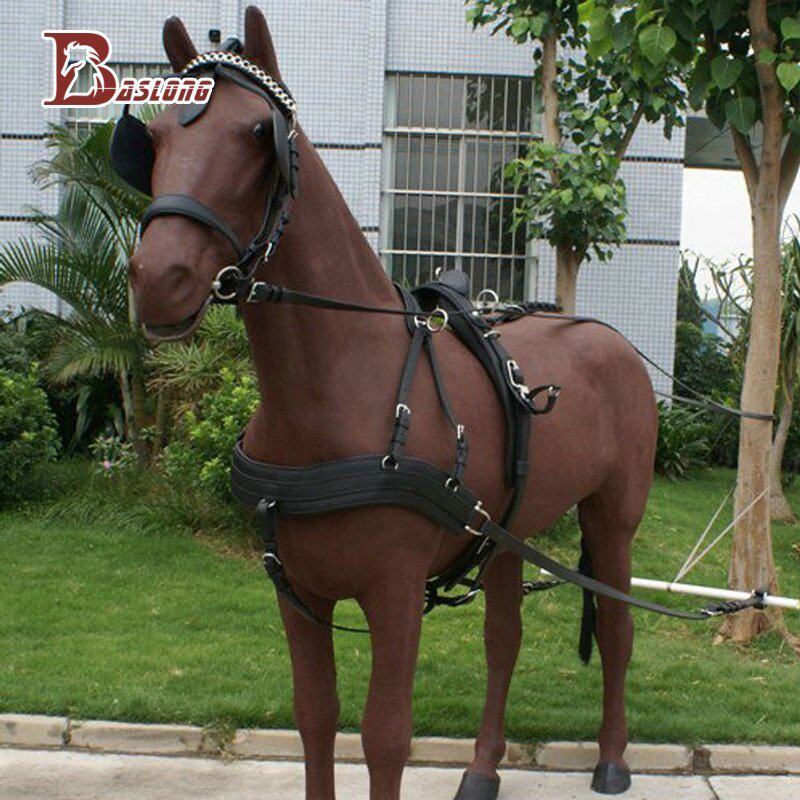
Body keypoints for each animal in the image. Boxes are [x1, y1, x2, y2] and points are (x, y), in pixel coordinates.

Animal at [128, 8, 657, 799]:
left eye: (256, 134)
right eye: (155, 137)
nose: (159, 279)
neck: (344, 390)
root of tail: (607, 336)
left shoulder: (396, 592)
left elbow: (384, 736)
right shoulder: (299, 593)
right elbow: (316, 717)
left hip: (612, 519)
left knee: (619, 632)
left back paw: (614, 758)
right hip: (508, 530)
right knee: (504, 640)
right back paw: (482, 767)